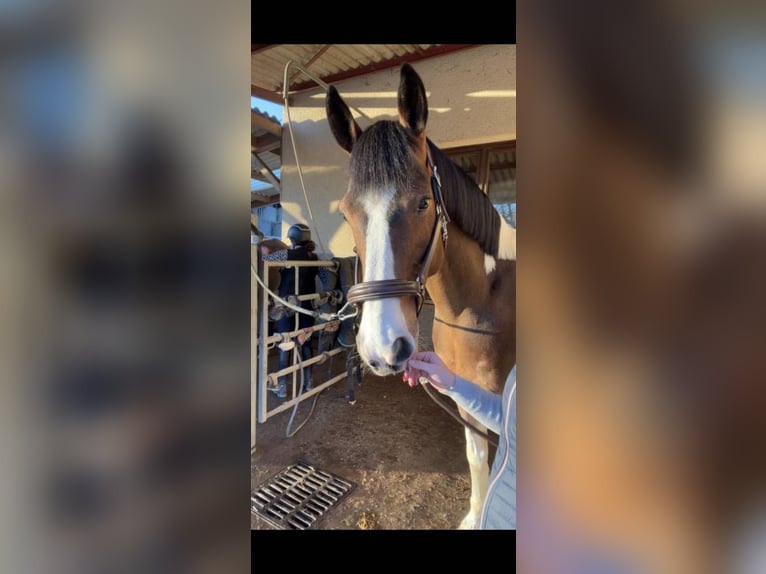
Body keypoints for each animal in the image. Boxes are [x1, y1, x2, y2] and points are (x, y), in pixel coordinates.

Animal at [324, 63, 516, 532]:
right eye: (346, 213)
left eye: (424, 203)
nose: (382, 347)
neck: (482, 304)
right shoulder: (468, 397)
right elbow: (477, 458)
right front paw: (475, 516)